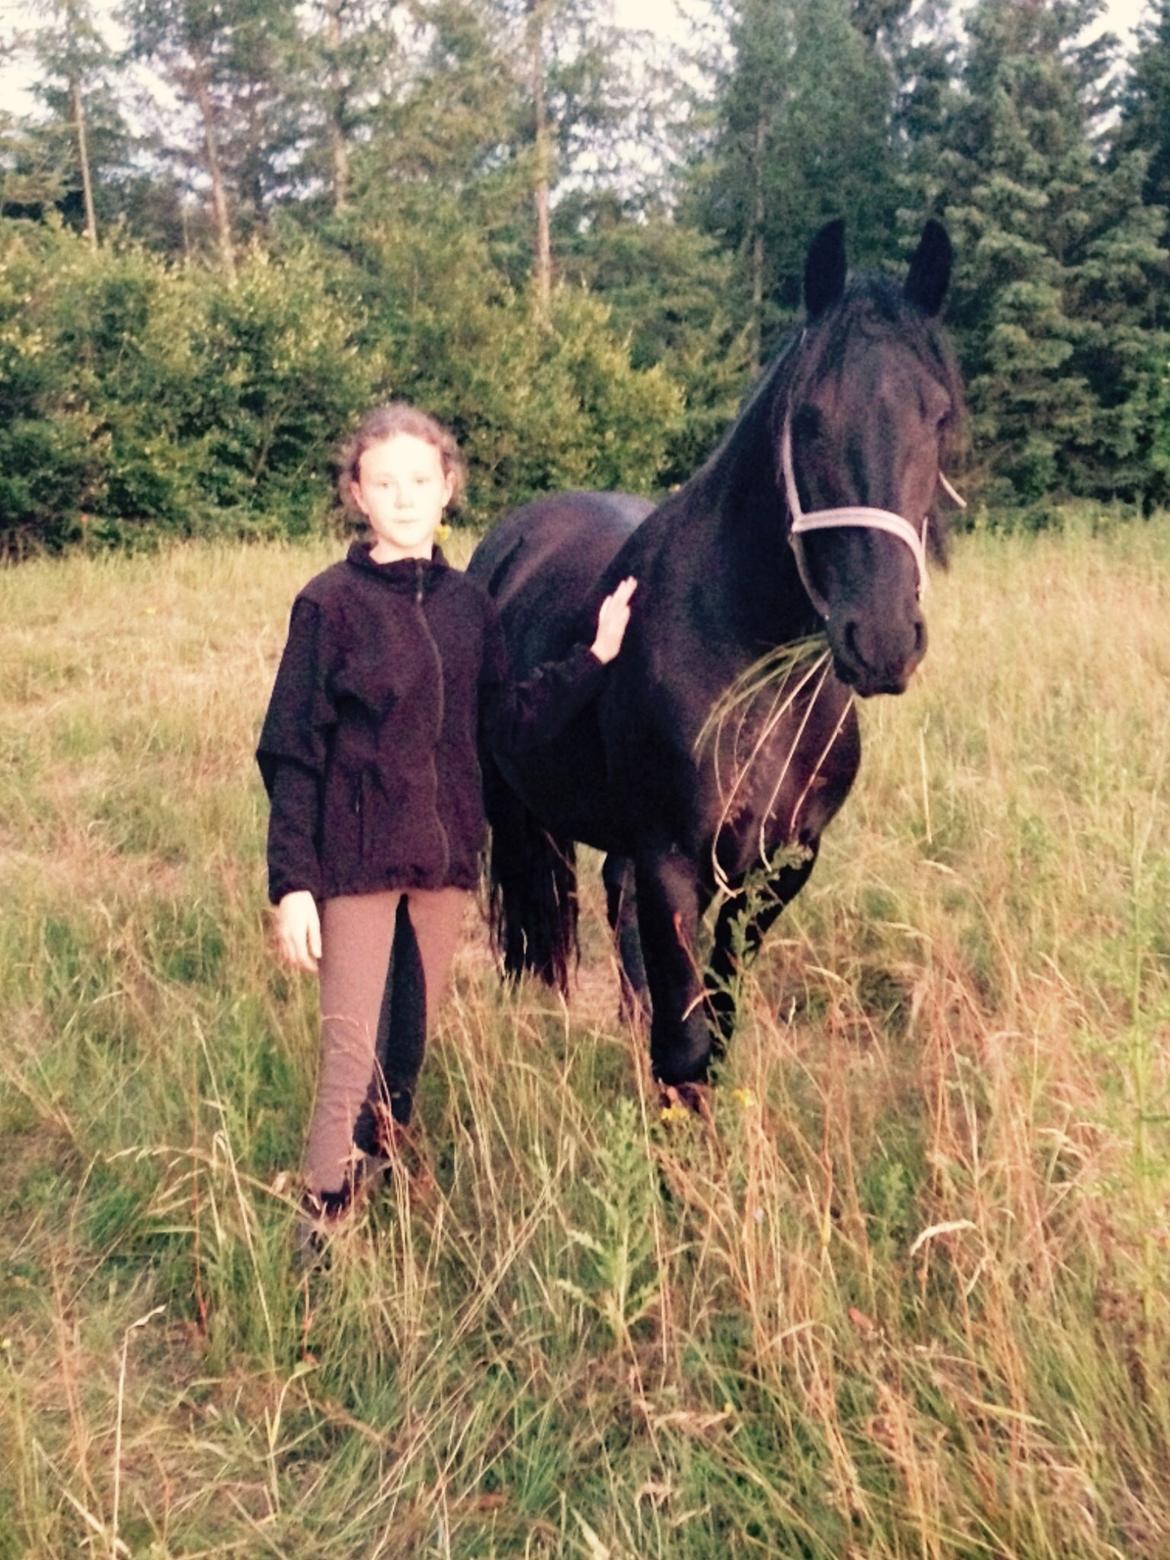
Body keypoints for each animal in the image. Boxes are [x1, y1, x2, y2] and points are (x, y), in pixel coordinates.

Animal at [471, 219, 967, 1098]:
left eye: (937, 416)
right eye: (809, 417)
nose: (881, 640)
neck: (752, 670)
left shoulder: (775, 870)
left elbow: (718, 1021)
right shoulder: (674, 863)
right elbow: (687, 1043)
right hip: (516, 810)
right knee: (529, 923)